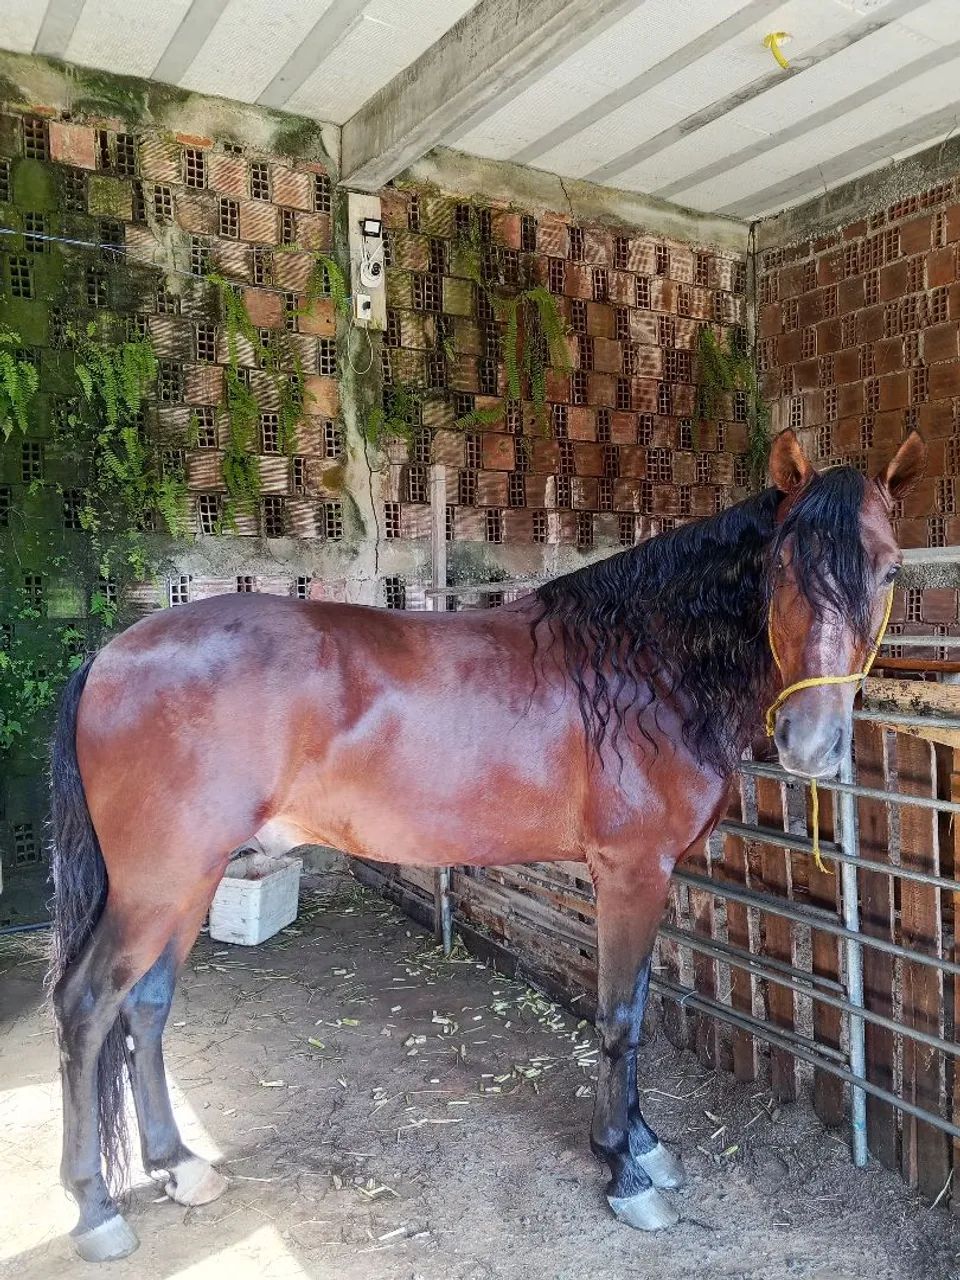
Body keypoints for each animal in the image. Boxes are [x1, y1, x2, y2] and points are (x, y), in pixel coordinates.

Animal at [46, 426, 925, 1261]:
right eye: (781, 567)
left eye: (889, 572)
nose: (811, 743)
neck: (643, 666)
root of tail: (111, 655)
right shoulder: (630, 874)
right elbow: (618, 1017)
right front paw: (624, 1170)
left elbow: (635, 1005)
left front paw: (644, 1144)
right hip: (158, 883)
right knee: (87, 1006)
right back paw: (95, 1210)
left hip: (188, 881)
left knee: (148, 1005)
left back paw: (179, 1166)